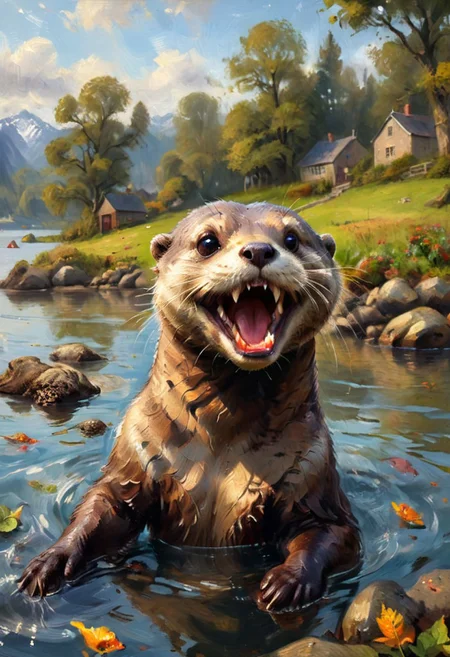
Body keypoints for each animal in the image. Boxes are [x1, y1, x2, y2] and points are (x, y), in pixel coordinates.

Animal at [18, 201, 360, 612]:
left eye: (292, 238)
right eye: (208, 242)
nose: (259, 250)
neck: (222, 448)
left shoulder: (313, 469)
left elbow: (332, 531)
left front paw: (288, 581)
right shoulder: (135, 455)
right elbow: (102, 508)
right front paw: (50, 561)